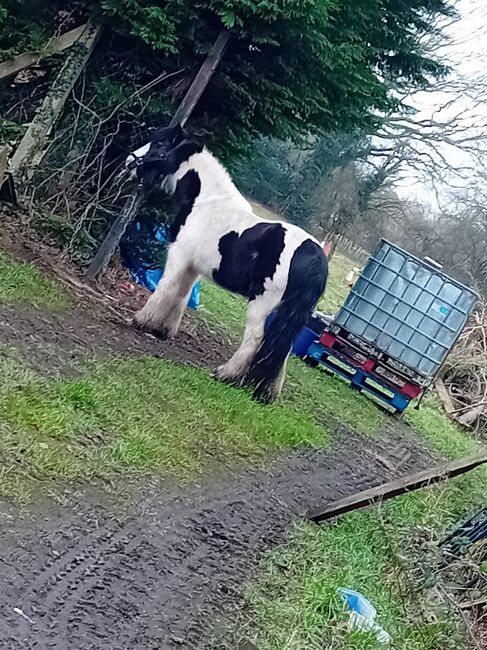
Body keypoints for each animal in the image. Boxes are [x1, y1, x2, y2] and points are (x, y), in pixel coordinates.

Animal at [127, 124, 330, 402]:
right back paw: (266, 391)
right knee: (282, 348)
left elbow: (165, 289)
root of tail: (313, 255)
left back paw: (226, 374)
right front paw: (163, 329)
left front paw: (142, 320)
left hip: (261, 303)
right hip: (290, 313)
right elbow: (181, 296)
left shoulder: (178, 257)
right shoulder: (193, 268)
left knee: (255, 339)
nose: (129, 162)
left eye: (160, 144)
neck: (205, 201)